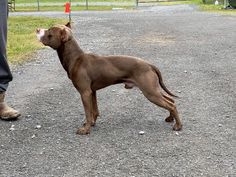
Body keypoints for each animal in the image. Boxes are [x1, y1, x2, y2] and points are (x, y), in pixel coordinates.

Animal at [36, 22, 182, 135]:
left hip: (150, 92)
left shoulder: (84, 92)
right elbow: (94, 111)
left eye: (49, 32)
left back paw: (178, 126)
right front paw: (92, 124)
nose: (37, 29)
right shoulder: (92, 92)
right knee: (171, 100)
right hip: (154, 89)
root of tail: (149, 65)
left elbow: (88, 112)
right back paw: (170, 119)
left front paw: (85, 130)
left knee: (171, 104)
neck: (75, 58)